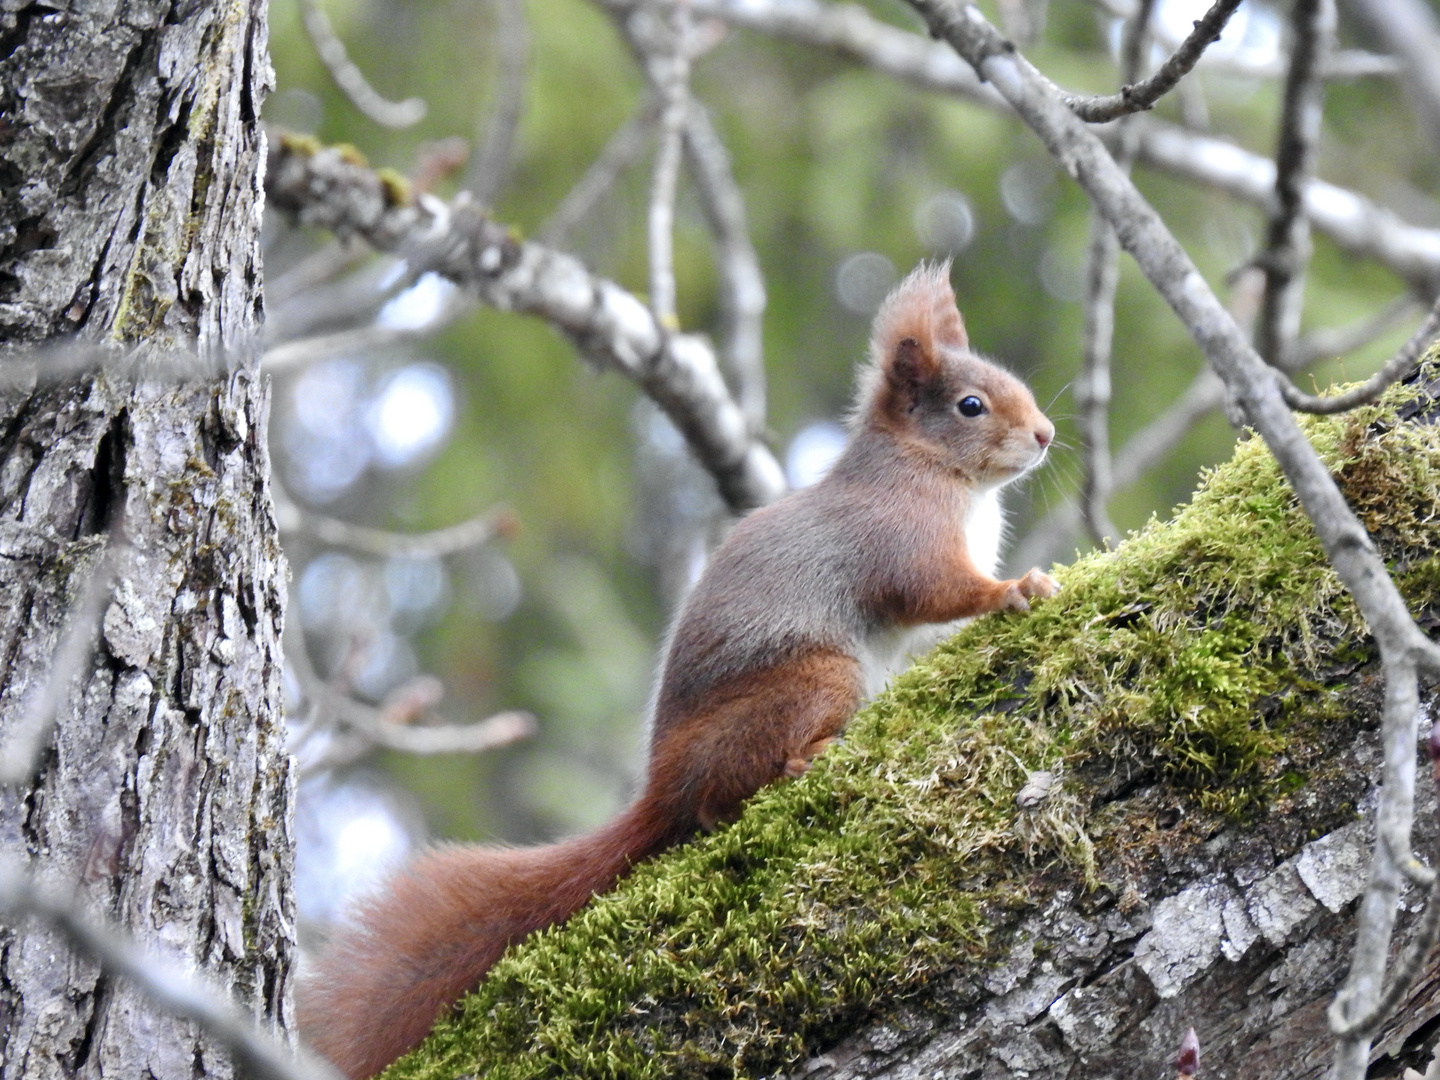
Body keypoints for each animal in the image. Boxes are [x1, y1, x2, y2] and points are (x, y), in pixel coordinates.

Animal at [295, 264, 1059, 1080]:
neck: (937, 471)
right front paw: (1016, 590)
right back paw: (804, 759)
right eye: (970, 405)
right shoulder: (900, 537)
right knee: (724, 799)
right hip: (817, 679)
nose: (1046, 434)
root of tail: (663, 786)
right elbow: (938, 591)